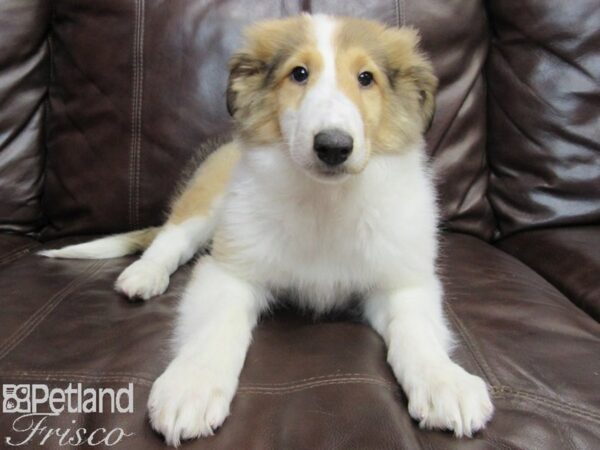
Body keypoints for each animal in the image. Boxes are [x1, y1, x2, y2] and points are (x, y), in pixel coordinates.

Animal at [41, 14, 492, 446]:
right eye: (298, 73)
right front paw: (192, 387)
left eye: (366, 78)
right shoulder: (230, 270)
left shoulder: (402, 283)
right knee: (171, 238)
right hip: (208, 202)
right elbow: (219, 325)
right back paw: (143, 276)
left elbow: (416, 333)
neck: (325, 202)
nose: (333, 146)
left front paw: (446, 383)